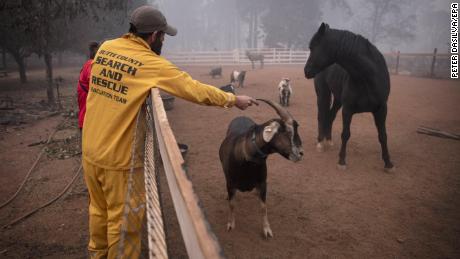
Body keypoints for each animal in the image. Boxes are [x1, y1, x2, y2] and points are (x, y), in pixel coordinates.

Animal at [306, 23, 396, 172]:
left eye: (313, 46)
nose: (306, 70)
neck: (367, 77)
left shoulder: (382, 109)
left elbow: (383, 136)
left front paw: (388, 163)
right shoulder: (347, 109)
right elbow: (346, 134)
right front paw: (342, 161)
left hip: (337, 100)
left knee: (330, 116)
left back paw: (329, 140)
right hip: (323, 94)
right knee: (321, 116)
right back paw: (320, 142)